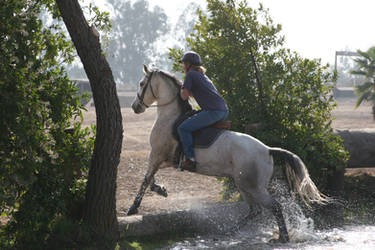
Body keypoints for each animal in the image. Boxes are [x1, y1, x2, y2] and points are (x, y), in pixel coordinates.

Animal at [128, 65, 328, 243]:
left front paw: (133, 208)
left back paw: (282, 237)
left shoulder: (157, 155)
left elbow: (146, 179)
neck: (170, 116)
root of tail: (267, 149)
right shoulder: (162, 158)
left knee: (274, 207)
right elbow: (151, 178)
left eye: (141, 83)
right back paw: (230, 231)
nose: (135, 107)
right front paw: (161, 190)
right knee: (255, 210)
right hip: (243, 184)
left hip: (252, 186)